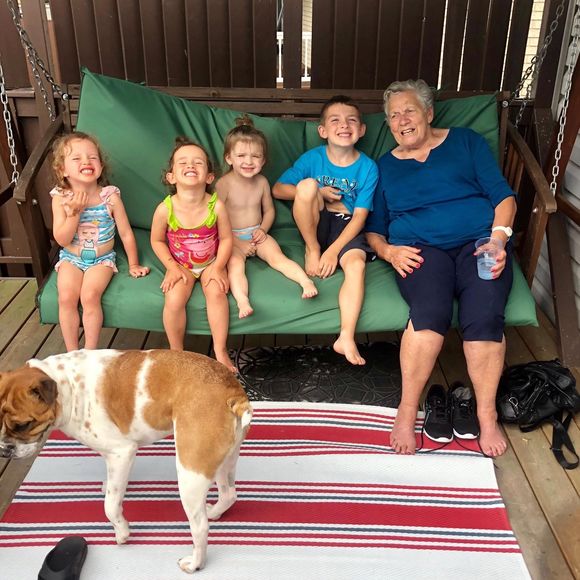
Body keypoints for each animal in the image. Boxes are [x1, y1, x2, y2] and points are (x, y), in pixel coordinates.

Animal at [0, 349, 252, 573]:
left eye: (23, 425)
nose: (3, 450)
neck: (67, 386)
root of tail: (233, 392)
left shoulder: (121, 453)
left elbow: (110, 506)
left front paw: (122, 532)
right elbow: (114, 488)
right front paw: (109, 487)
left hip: (191, 471)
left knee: (200, 526)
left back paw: (195, 563)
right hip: (224, 462)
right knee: (229, 494)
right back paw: (215, 511)